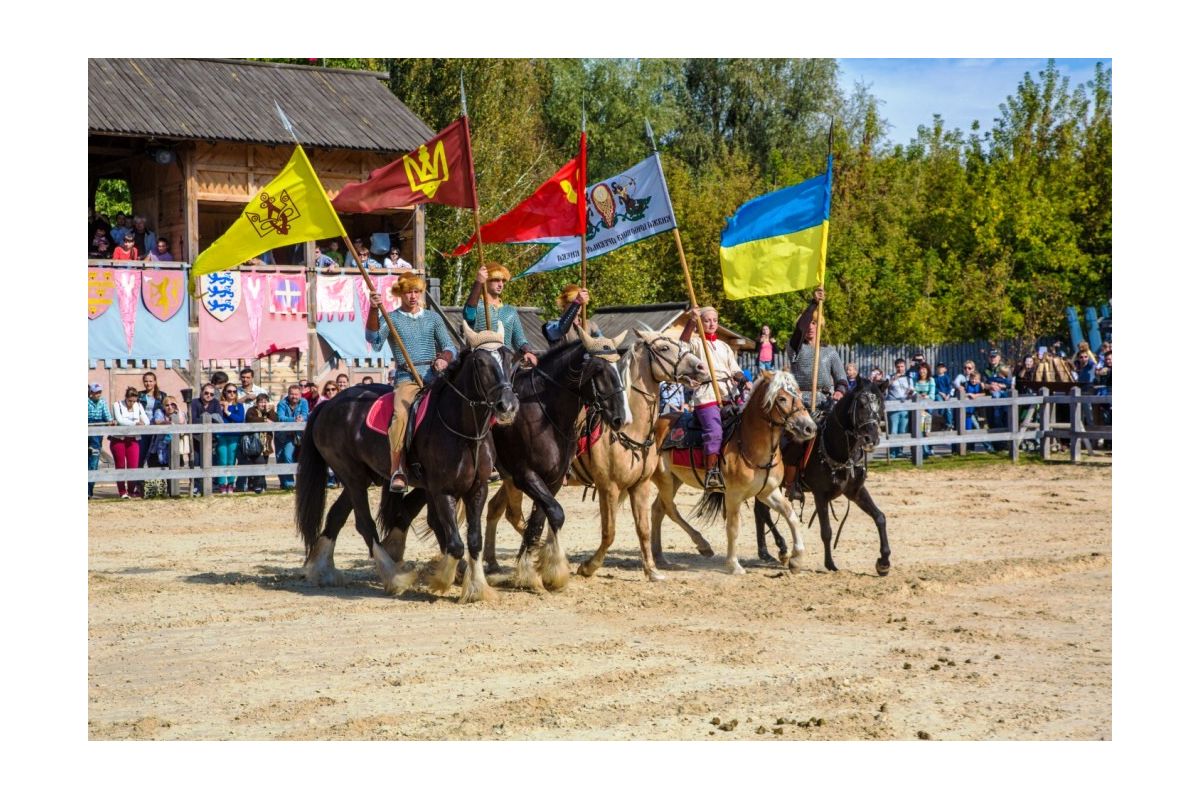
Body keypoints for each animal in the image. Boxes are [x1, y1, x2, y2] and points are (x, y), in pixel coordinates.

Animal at [295, 321, 520, 604]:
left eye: (510, 359)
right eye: (480, 362)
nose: (507, 406)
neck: (463, 430)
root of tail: (327, 406)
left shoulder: (477, 488)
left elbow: (474, 540)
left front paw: (477, 587)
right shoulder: (441, 490)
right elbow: (455, 542)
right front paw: (442, 579)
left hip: (361, 477)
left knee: (337, 515)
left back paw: (321, 569)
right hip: (352, 476)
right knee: (365, 524)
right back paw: (394, 576)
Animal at [484, 331, 710, 582]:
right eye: (663, 348)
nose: (701, 367)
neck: (632, 430)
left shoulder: (640, 485)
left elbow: (643, 529)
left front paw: (651, 570)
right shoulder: (608, 486)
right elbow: (609, 532)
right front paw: (588, 566)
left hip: (511, 479)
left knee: (497, 509)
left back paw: (493, 562)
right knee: (511, 514)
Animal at [652, 371, 820, 578]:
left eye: (798, 393)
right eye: (782, 398)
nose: (810, 428)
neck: (750, 444)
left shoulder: (768, 492)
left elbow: (791, 515)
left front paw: (796, 559)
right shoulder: (733, 495)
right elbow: (733, 528)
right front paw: (734, 565)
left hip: (675, 480)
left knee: (657, 510)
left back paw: (660, 557)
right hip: (665, 479)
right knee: (670, 509)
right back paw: (702, 544)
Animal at [753, 381, 897, 575]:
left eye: (880, 405)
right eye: (861, 405)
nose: (871, 439)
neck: (836, 447)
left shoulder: (855, 491)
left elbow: (880, 517)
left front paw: (884, 562)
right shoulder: (820, 495)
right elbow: (826, 531)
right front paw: (830, 564)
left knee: (760, 512)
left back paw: (767, 552)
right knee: (762, 512)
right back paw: (779, 549)